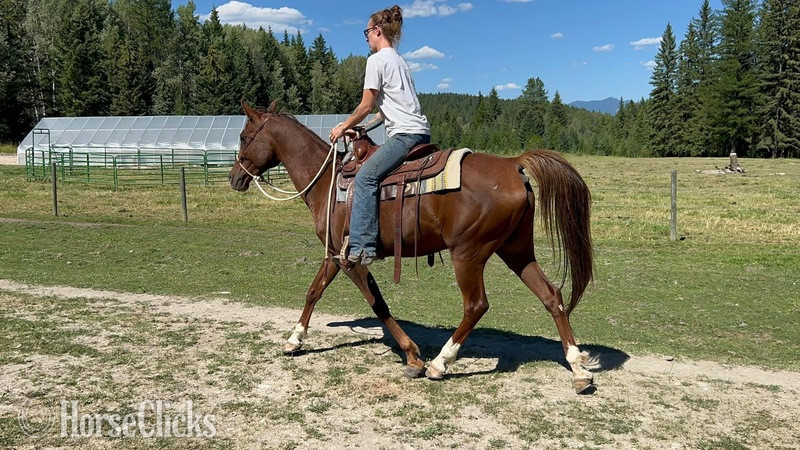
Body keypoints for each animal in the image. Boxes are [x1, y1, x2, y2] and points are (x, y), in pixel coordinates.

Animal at [229, 101, 596, 393]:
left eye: (244, 137)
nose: (235, 177)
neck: (328, 184)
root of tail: (513, 164)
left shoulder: (350, 257)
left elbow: (377, 303)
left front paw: (413, 356)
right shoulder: (334, 254)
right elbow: (314, 291)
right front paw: (294, 339)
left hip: (469, 253)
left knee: (476, 305)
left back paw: (440, 363)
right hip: (516, 251)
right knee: (551, 296)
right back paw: (577, 368)